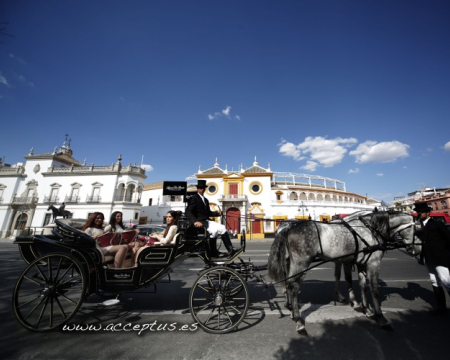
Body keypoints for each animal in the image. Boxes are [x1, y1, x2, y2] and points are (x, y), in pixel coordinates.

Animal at [268, 211, 414, 334]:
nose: (413, 249)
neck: (370, 230)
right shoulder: (372, 263)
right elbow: (373, 290)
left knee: (288, 282)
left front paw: (366, 309)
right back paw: (298, 320)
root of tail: (287, 228)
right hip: (301, 264)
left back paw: (291, 309)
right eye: (415, 229)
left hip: (291, 263)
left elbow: (359, 284)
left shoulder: (357, 262)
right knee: (293, 287)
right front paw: (380, 317)